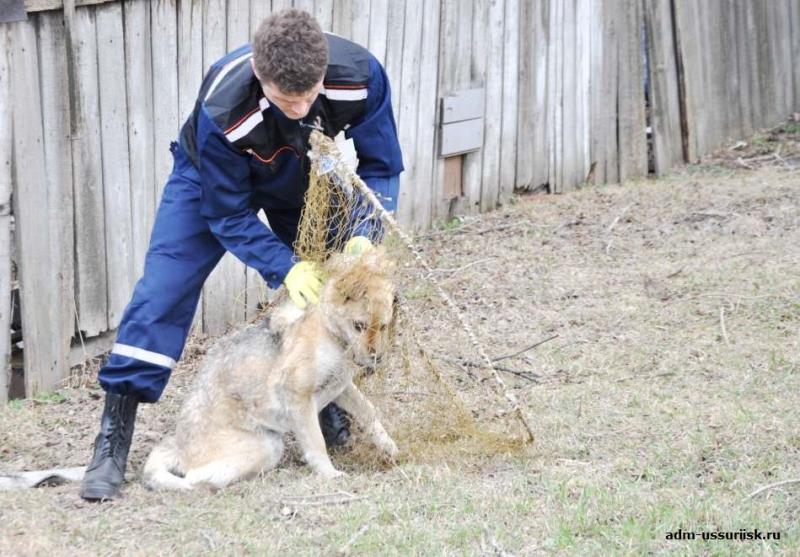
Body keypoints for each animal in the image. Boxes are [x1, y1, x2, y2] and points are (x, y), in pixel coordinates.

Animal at [142, 250, 398, 488]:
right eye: (359, 325)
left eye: (383, 326)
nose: (377, 358)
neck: (331, 332)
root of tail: (178, 448)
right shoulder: (298, 393)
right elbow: (316, 443)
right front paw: (329, 474)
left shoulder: (342, 387)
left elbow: (369, 413)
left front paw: (390, 446)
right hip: (267, 445)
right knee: (194, 478)